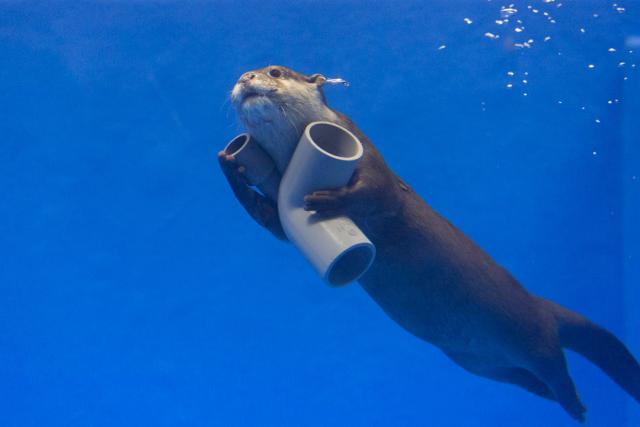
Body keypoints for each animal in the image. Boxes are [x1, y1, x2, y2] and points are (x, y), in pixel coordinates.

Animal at [218, 65, 640, 422]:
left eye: (275, 71)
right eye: (248, 72)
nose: (245, 77)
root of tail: (538, 303)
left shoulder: (369, 155)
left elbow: (380, 193)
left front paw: (331, 200)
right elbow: (276, 225)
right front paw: (229, 164)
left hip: (530, 335)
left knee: (554, 363)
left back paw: (577, 404)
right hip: (481, 363)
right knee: (531, 381)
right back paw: (570, 405)